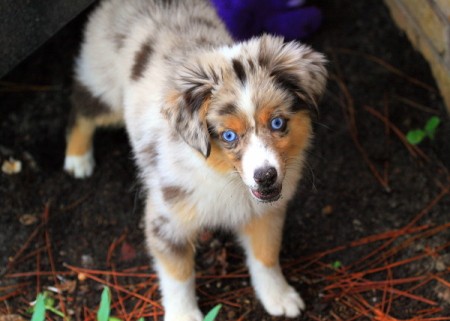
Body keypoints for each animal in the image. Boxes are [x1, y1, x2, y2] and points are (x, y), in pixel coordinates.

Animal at [64, 1, 326, 318]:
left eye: (278, 123)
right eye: (228, 136)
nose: (266, 176)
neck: (225, 178)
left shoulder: (264, 212)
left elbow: (266, 256)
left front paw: (279, 296)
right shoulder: (167, 219)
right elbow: (178, 275)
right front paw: (183, 314)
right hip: (104, 86)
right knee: (81, 109)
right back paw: (77, 158)